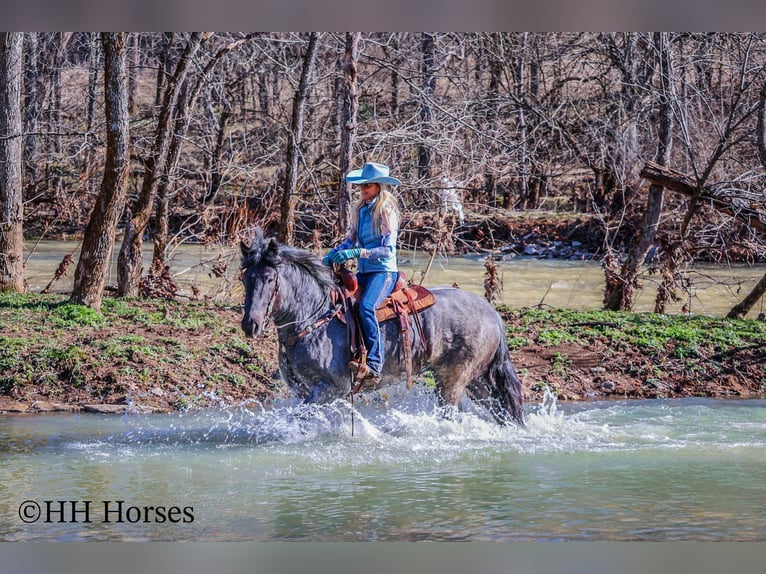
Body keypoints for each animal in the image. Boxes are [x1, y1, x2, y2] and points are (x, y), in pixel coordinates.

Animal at [240, 230, 525, 426]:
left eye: (269, 279)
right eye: (245, 279)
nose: (250, 324)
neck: (314, 319)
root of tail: (492, 314)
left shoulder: (332, 388)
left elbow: (298, 418)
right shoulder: (305, 390)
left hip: (453, 381)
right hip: (476, 380)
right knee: (500, 410)